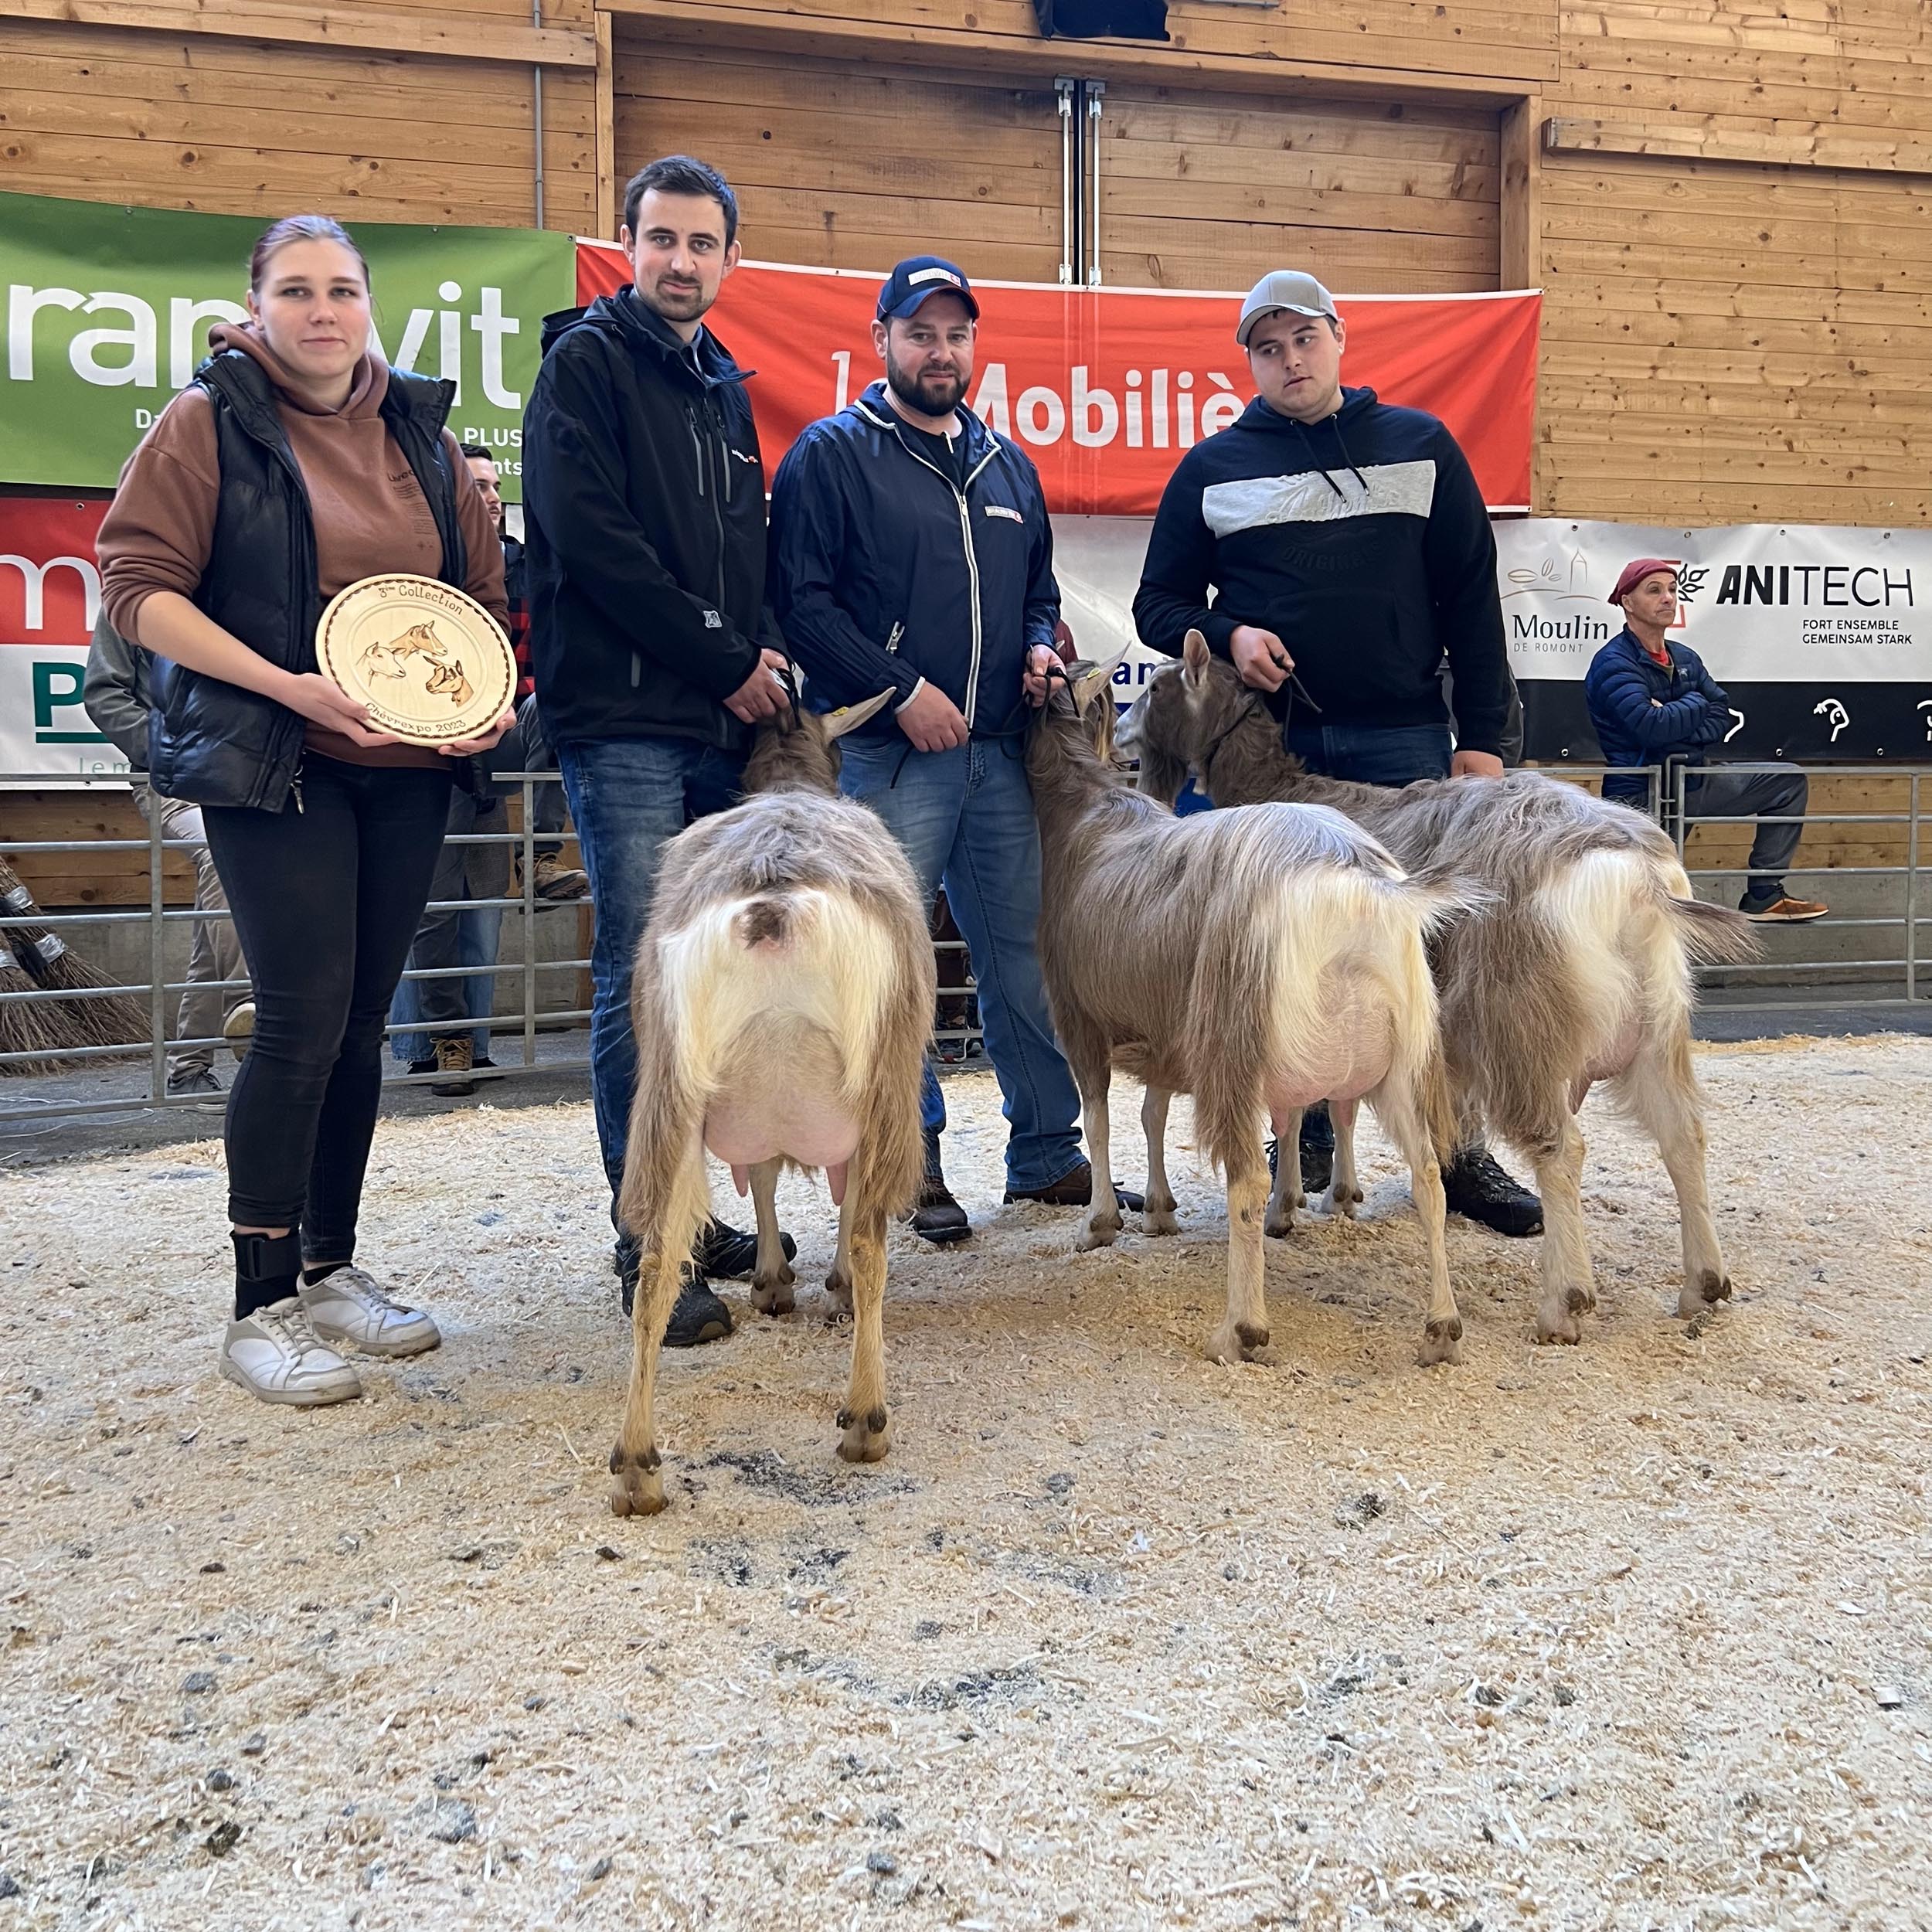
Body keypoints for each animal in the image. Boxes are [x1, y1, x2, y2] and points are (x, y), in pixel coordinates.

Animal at [608, 688, 935, 1516]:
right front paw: (810, 1287)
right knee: (871, 1238)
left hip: (672, 1091)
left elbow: (758, 1182)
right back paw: (865, 1421)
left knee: (656, 1259)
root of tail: (773, 907)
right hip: (883, 1083)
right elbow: (838, 1211)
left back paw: (637, 1468)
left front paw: (770, 1282)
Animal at [1029, 657, 1471, 1369]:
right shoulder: (1167, 1027)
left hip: (1235, 1041)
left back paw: (1242, 1328)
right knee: (1429, 1175)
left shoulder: (1081, 1022)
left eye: (1155, 690)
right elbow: (1154, 1114)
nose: (1122, 731)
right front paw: (1159, 1210)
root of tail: (1355, 882)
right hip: (1402, 1057)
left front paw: (1100, 1223)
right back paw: (1441, 1327)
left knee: (1245, 1182)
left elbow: (1098, 1121)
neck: (1088, 811)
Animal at [1124, 631, 1758, 1345]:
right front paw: (1336, 1194)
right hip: (1655, 1026)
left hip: (1518, 1025)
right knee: (1684, 1135)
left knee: (1563, 1148)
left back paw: (1564, 1302)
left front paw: (1297, 1203)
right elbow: (1336, 1104)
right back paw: (1702, 1284)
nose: (1119, 730)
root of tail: (1637, 879)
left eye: (1156, 686)